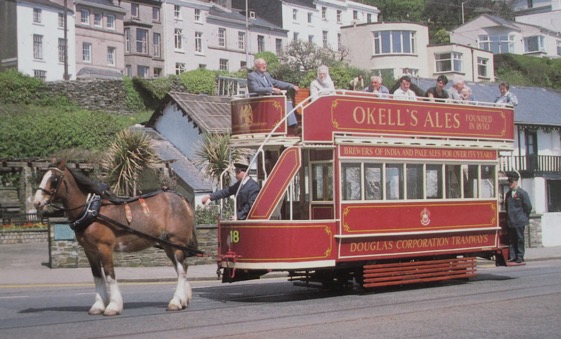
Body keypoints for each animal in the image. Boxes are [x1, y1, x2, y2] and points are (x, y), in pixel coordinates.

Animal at [32, 161, 198, 318]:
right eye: (42, 177)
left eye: (54, 179)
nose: (36, 202)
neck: (92, 210)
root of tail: (182, 199)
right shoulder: (89, 250)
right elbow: (97, 276)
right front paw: (98, 306)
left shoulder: (104, 247)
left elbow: (109, 275)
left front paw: (113, 306)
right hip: (168, 245)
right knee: (181, 268)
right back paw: (183, 300)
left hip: (176, 242)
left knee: (182, 268)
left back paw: (176, 302)